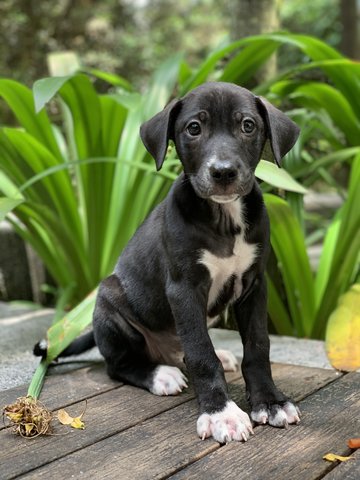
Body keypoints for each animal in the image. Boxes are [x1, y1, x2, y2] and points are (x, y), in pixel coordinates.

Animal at [37, 81, 300, 442]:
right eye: (194, 128)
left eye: (248, 125)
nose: (223, 172)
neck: (224, 218)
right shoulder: (184, 288)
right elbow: (201, 353)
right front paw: (221, 413)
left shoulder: (254, 285)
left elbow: (258, 345)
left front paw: (271, 402)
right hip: (109, 301)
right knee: (118, 365)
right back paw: (161, 374)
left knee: (183, 348)